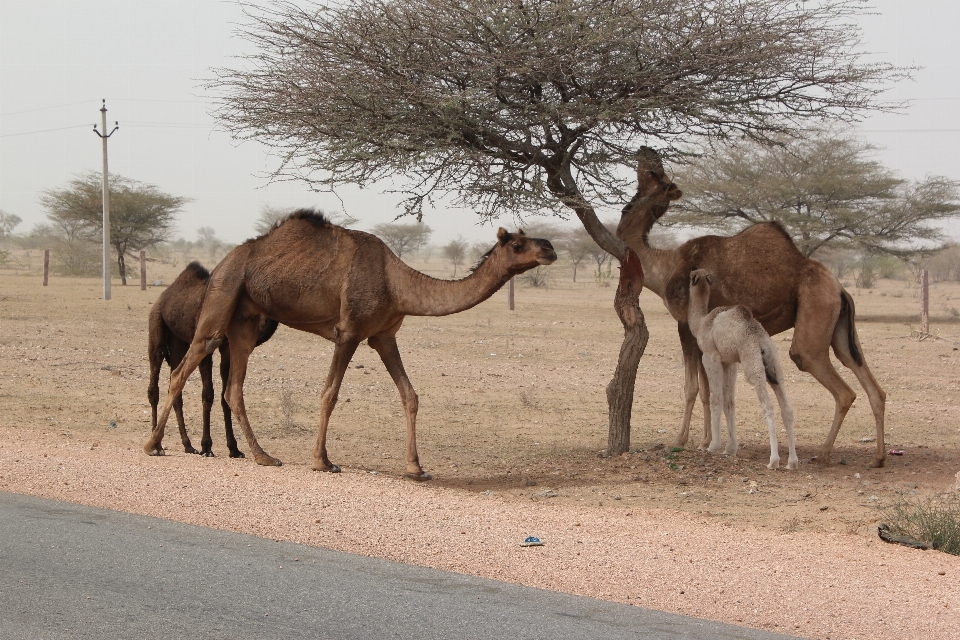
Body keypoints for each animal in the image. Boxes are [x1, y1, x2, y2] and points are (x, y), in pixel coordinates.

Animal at [145, 262, 278, 458]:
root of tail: (164, 297)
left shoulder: (227, 349)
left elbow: (224, 397)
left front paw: (234, 448)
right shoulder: (207, 345)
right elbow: (208, 394)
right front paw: (206, 447)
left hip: (178, 341)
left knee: (176, 387)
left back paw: (188, 445)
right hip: (156, 326)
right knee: (154, 386)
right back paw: (157, 445)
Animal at [688, 268, 800, 470]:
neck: (701, 322)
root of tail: (761, 341)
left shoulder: (710, 355)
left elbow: (716, 398)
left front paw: (713, 446)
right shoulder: (730, 361)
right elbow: (729, 402)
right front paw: (730, 449)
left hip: (752, 364)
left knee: (768, 406)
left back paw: (773, 460)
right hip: (774, 364)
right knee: (786, 408)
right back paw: (792, 462)